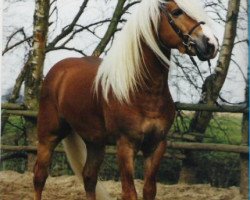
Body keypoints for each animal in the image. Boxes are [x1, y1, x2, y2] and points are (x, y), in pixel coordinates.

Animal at [33, 0, 219, 199]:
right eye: (176, 12)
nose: (211, 44)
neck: (141, 90)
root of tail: (58, 71)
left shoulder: (156, 145)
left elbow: (149, 190)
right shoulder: (125, 145)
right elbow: (130, 193)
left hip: (95, 142)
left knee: (89, 178)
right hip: (48, 136)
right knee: (39, 177)